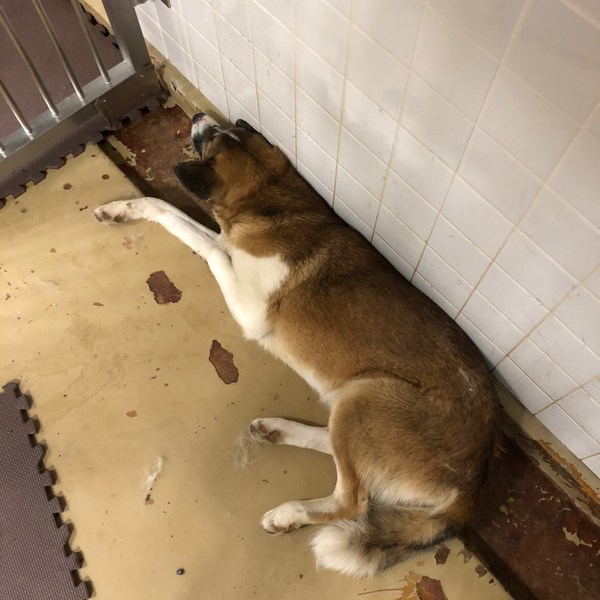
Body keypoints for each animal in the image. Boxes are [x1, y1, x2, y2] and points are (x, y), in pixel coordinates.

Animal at [94, 113, 497, 577]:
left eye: (211, 141)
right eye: (231, 130)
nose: (198, 117)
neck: (271, 199)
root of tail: (475, 483)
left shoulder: (249, 305)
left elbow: (206, 245)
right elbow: (177, 215)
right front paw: (126, 208)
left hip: (367, 395)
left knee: (352, 501)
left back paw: (291, 512)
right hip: (353, 402)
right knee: (337, 453)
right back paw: (279, 429)